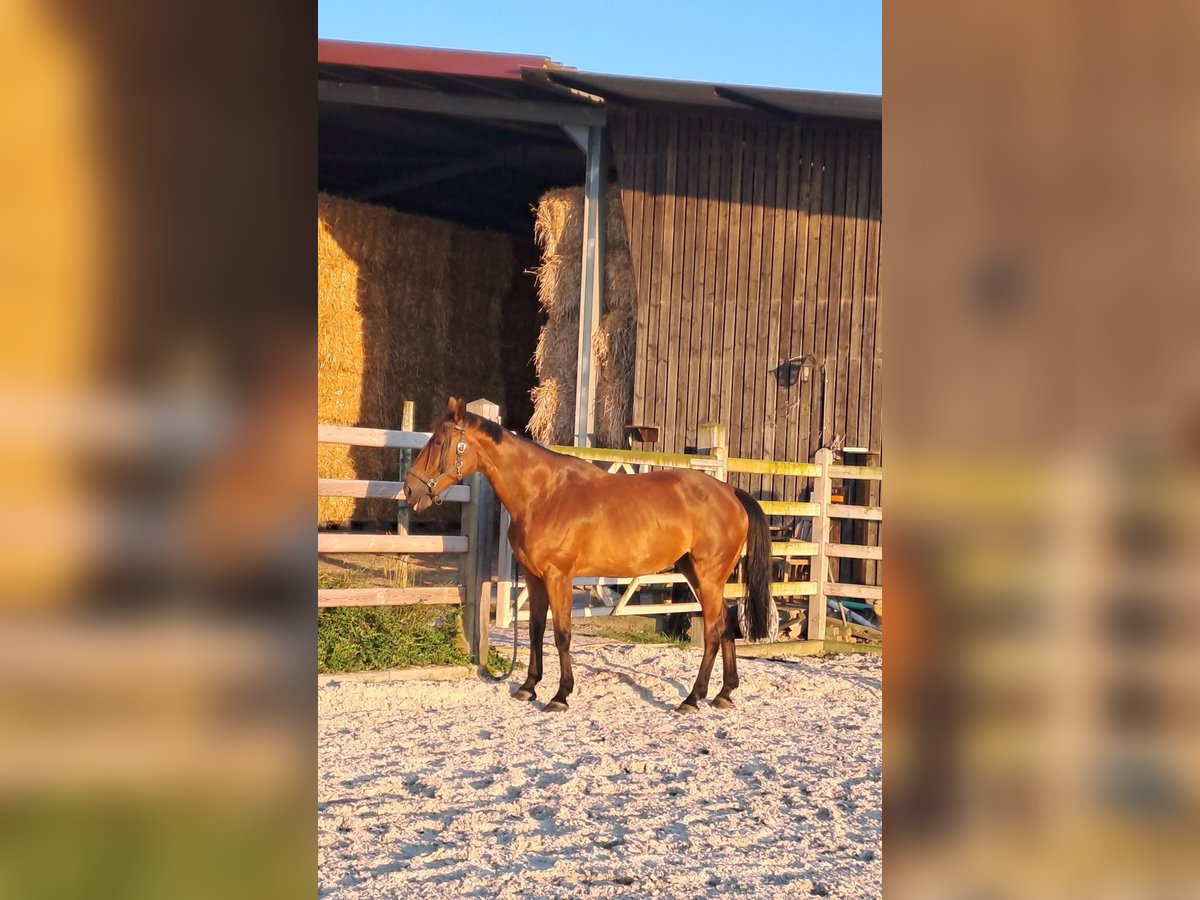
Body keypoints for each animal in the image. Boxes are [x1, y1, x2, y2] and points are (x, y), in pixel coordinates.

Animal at [405, 398, 777, 715]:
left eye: (439, 442)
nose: (410, 489)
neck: (543, 494)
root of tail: (730, 492)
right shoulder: (534, 577)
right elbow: (536, 630)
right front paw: (528, 687)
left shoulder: (558, 577)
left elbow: (561, 634)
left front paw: (560, 695)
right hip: (698, 575)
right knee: (726, 621)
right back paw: (724, 693)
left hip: (708, 575)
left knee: (714, 629)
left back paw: (692, 698)